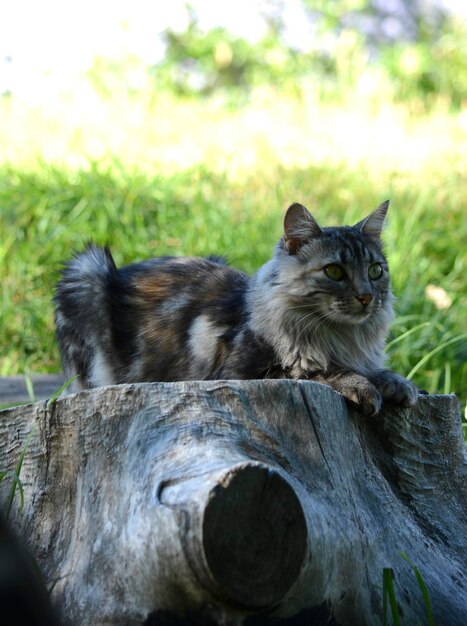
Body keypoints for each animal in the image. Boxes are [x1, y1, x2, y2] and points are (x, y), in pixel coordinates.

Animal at [55, 201, 420, 414]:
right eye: (334, 272)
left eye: (375, 270)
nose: (366, 297)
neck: (341, 337)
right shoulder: (242, 373)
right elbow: (316, 372)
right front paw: (361, 386)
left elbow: (379, 371)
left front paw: (399, 385)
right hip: (86, 272)